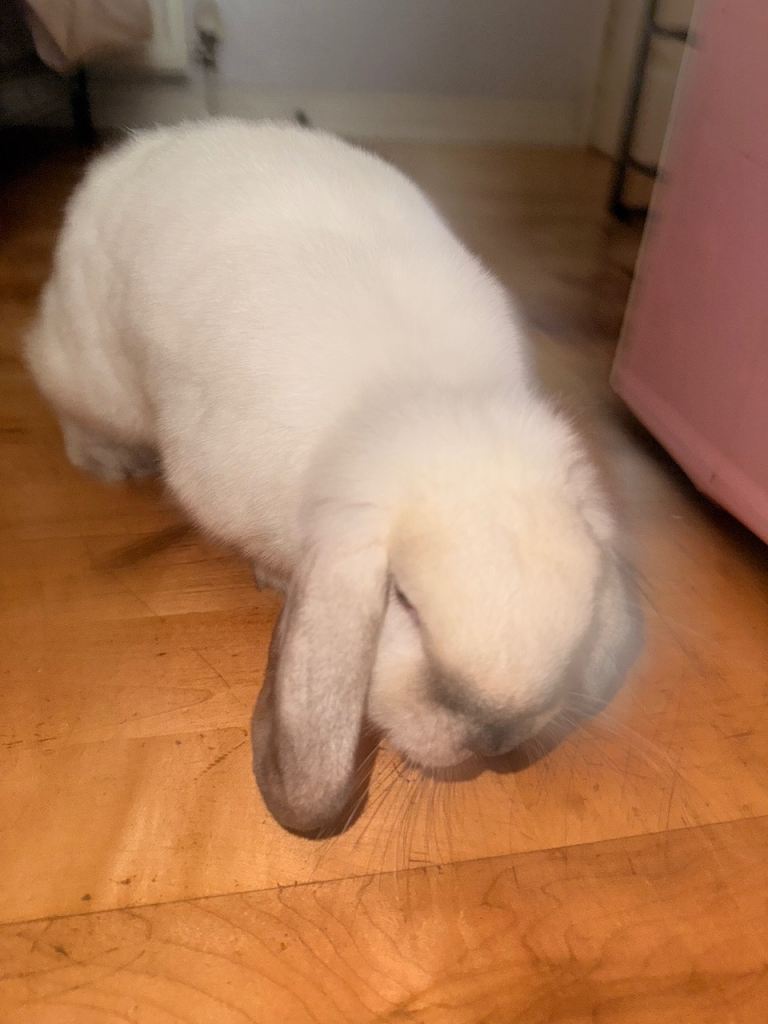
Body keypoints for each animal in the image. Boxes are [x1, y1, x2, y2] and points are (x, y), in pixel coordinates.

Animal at [25, 119, 638, 834]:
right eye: (403, 601)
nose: (496, 736)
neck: (422, 399)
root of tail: (131, 154)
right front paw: (270, 579)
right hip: (96, 376)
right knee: (57, 387)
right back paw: (108, 462)